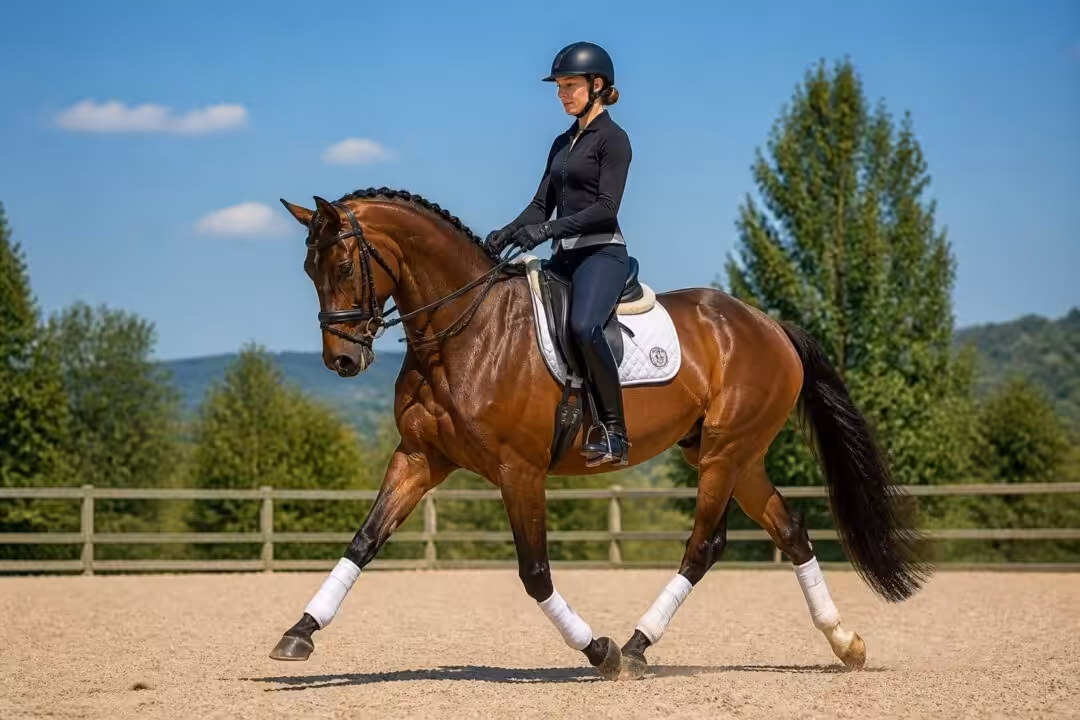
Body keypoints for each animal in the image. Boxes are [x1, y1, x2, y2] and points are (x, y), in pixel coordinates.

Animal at [268, 186, 929, 680]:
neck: (465, 331)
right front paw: (298, 633)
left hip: (724, 452)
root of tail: (769, 325)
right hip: (736, 457)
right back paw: (845, 643)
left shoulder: (518, 470)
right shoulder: (419, 457)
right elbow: (363, 541)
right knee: (789, 530)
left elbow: (535, 573)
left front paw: (600, 651)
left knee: (703, 547)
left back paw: (635, 647)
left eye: (344, 264)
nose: (342, 361)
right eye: (306, 269)